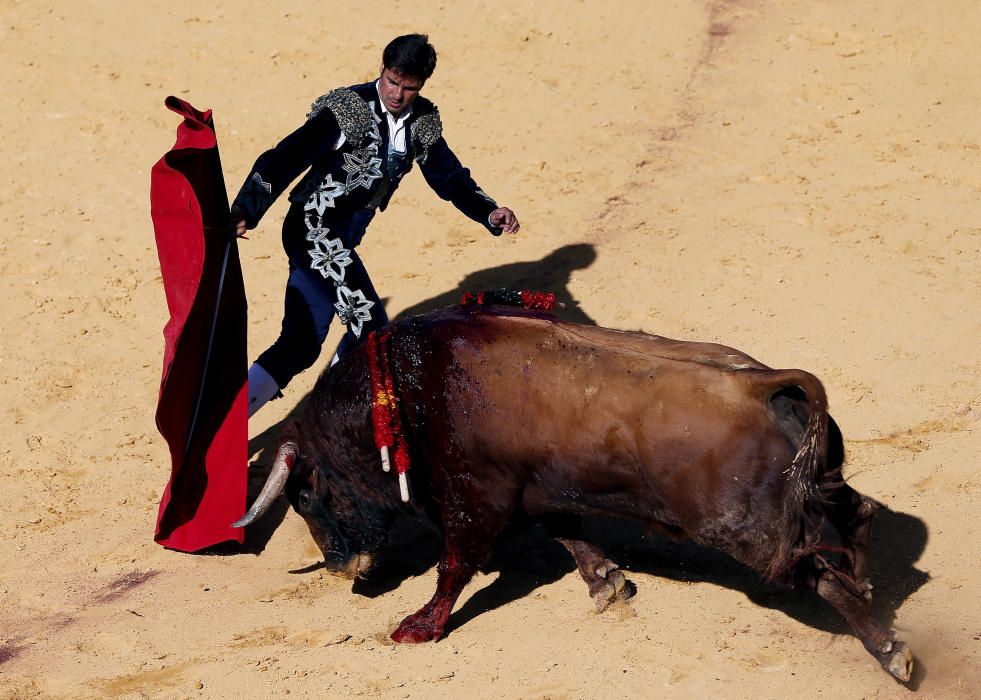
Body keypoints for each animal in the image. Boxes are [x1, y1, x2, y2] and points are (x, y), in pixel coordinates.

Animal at [234, 304, 916, 680]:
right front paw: (608, 585)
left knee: (822, 574)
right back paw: (875, 590)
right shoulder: (538, 490)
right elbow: (568, 534)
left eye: (303, 497)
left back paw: (892, 652)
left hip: (753, 535)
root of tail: (769, 385)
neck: (402, 393)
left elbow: (455, 565)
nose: (339, 568)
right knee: (858, 514)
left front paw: (418, 627)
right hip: (812, 490)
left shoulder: (475, 500)